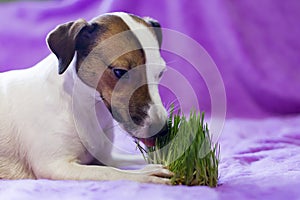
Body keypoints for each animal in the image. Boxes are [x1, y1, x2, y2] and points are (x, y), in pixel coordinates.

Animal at [0, 12, 173, 184]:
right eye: (119, 72)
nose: (163, 130)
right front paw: (145, 174)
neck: (85, 106)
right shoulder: (55, 166)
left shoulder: (105, 156)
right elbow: (108, 172)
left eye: (161, 72)